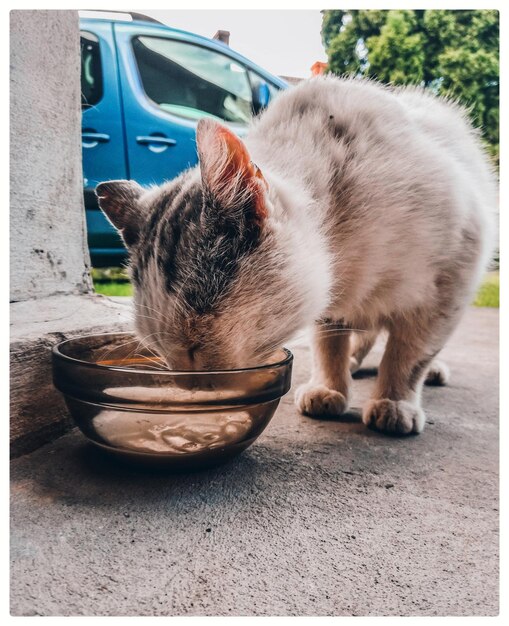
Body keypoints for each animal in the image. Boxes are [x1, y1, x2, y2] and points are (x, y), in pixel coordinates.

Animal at [96, 75, 496, 434]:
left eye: (197, 341)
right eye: (159, 347)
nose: (188, 385)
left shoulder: (452, 274)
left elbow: (410, 353)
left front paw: (395, 400)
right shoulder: (332, 299)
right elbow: (328, 343)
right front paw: (330, 387)